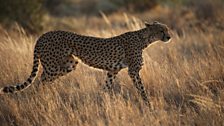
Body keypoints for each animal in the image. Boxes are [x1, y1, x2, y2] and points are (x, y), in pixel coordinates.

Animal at [0, 20, 172, 105]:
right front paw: (148, 105)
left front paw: (100, 103)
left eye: (167, 29)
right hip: (53, 66)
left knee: (43, 80)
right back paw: (41, 98)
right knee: (40, 81)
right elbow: (141, 88)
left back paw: (48, 96)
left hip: (69, 64)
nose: (169, 37)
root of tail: (43, 35)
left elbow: (106, 88)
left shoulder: (113, 71)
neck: (145, 39)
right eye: (162, 30)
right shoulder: (133, 71)